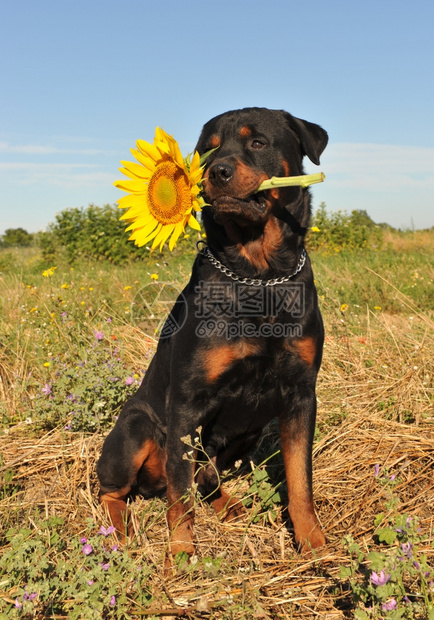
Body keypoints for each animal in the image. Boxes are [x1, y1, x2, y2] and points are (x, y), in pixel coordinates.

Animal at [97, 106, 328, 556]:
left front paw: (313, 542)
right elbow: (180, 502)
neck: (259, 276)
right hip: (135, 430)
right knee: (115, 490)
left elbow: (300, 480)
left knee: (204, 478)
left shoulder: (300, 395)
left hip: (246, 432)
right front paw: (181, 555)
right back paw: (119, 531)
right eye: (208, 151)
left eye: (258, 142)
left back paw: (229, 506)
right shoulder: (187, 403)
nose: (219, 171)